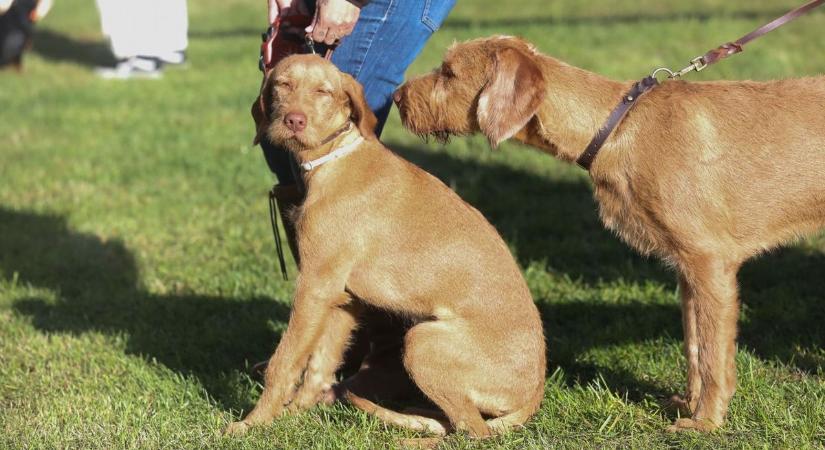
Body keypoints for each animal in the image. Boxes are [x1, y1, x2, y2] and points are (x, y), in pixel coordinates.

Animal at [225, 54, 548, 438]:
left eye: (323, 91)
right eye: (282, 85)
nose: (294, 120)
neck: (335, 159)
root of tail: (536, 392)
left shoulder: (315, 285)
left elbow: (285, 361)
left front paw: (253, 423)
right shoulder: (343, 299)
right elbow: (320, 364)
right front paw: (295, 413)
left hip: (421, 342)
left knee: (473, 431)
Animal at [392, 36, 824, 432]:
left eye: (449, 73)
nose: (396, 97)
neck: (617, 129)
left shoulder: (711, 263)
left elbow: (713, 355)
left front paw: (705, 422)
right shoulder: (687, 269)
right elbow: (693, 345)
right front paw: (688, 404)